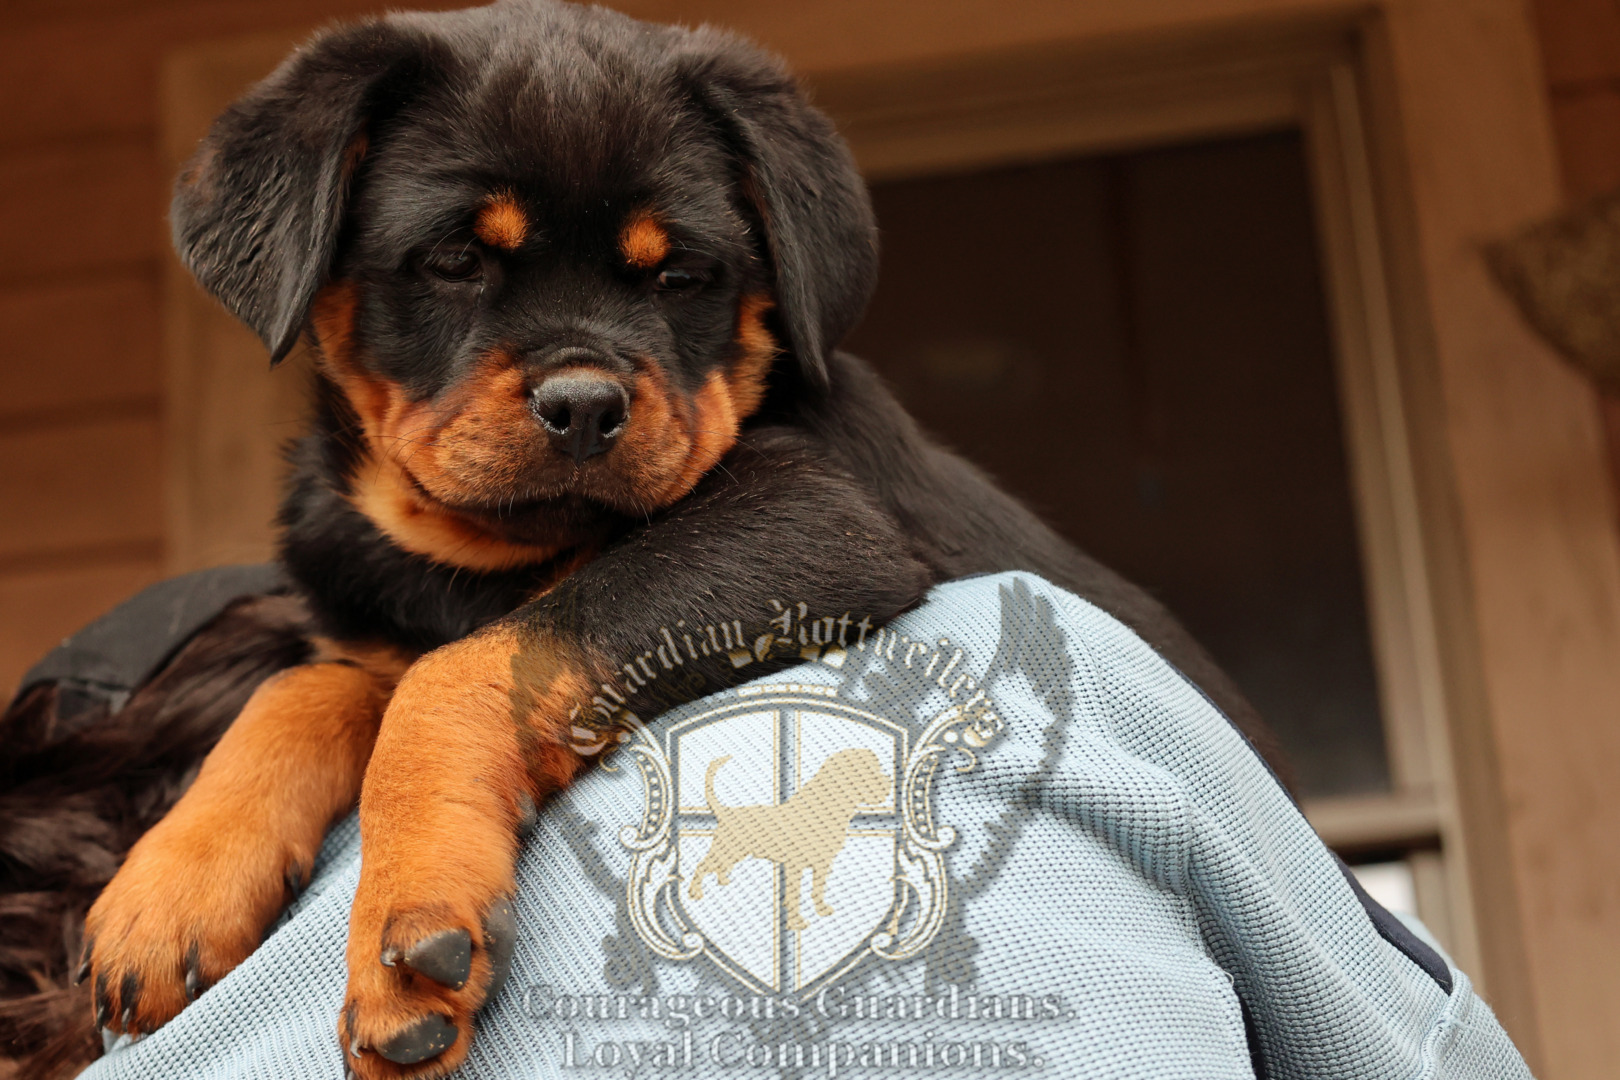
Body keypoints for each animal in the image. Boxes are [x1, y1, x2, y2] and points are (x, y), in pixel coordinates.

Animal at [689, 749, 891, 931]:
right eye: (866, 771)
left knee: (720, 866)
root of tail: (725, 812)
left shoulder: (822, 864)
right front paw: (796, 922)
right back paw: (694, 892)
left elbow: (817, 889)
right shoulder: (795, 866)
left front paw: (821, 909)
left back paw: (723, 880)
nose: (888, 785)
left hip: (734, 852)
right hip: (726, 850)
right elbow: (795, 896)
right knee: (702, 866)